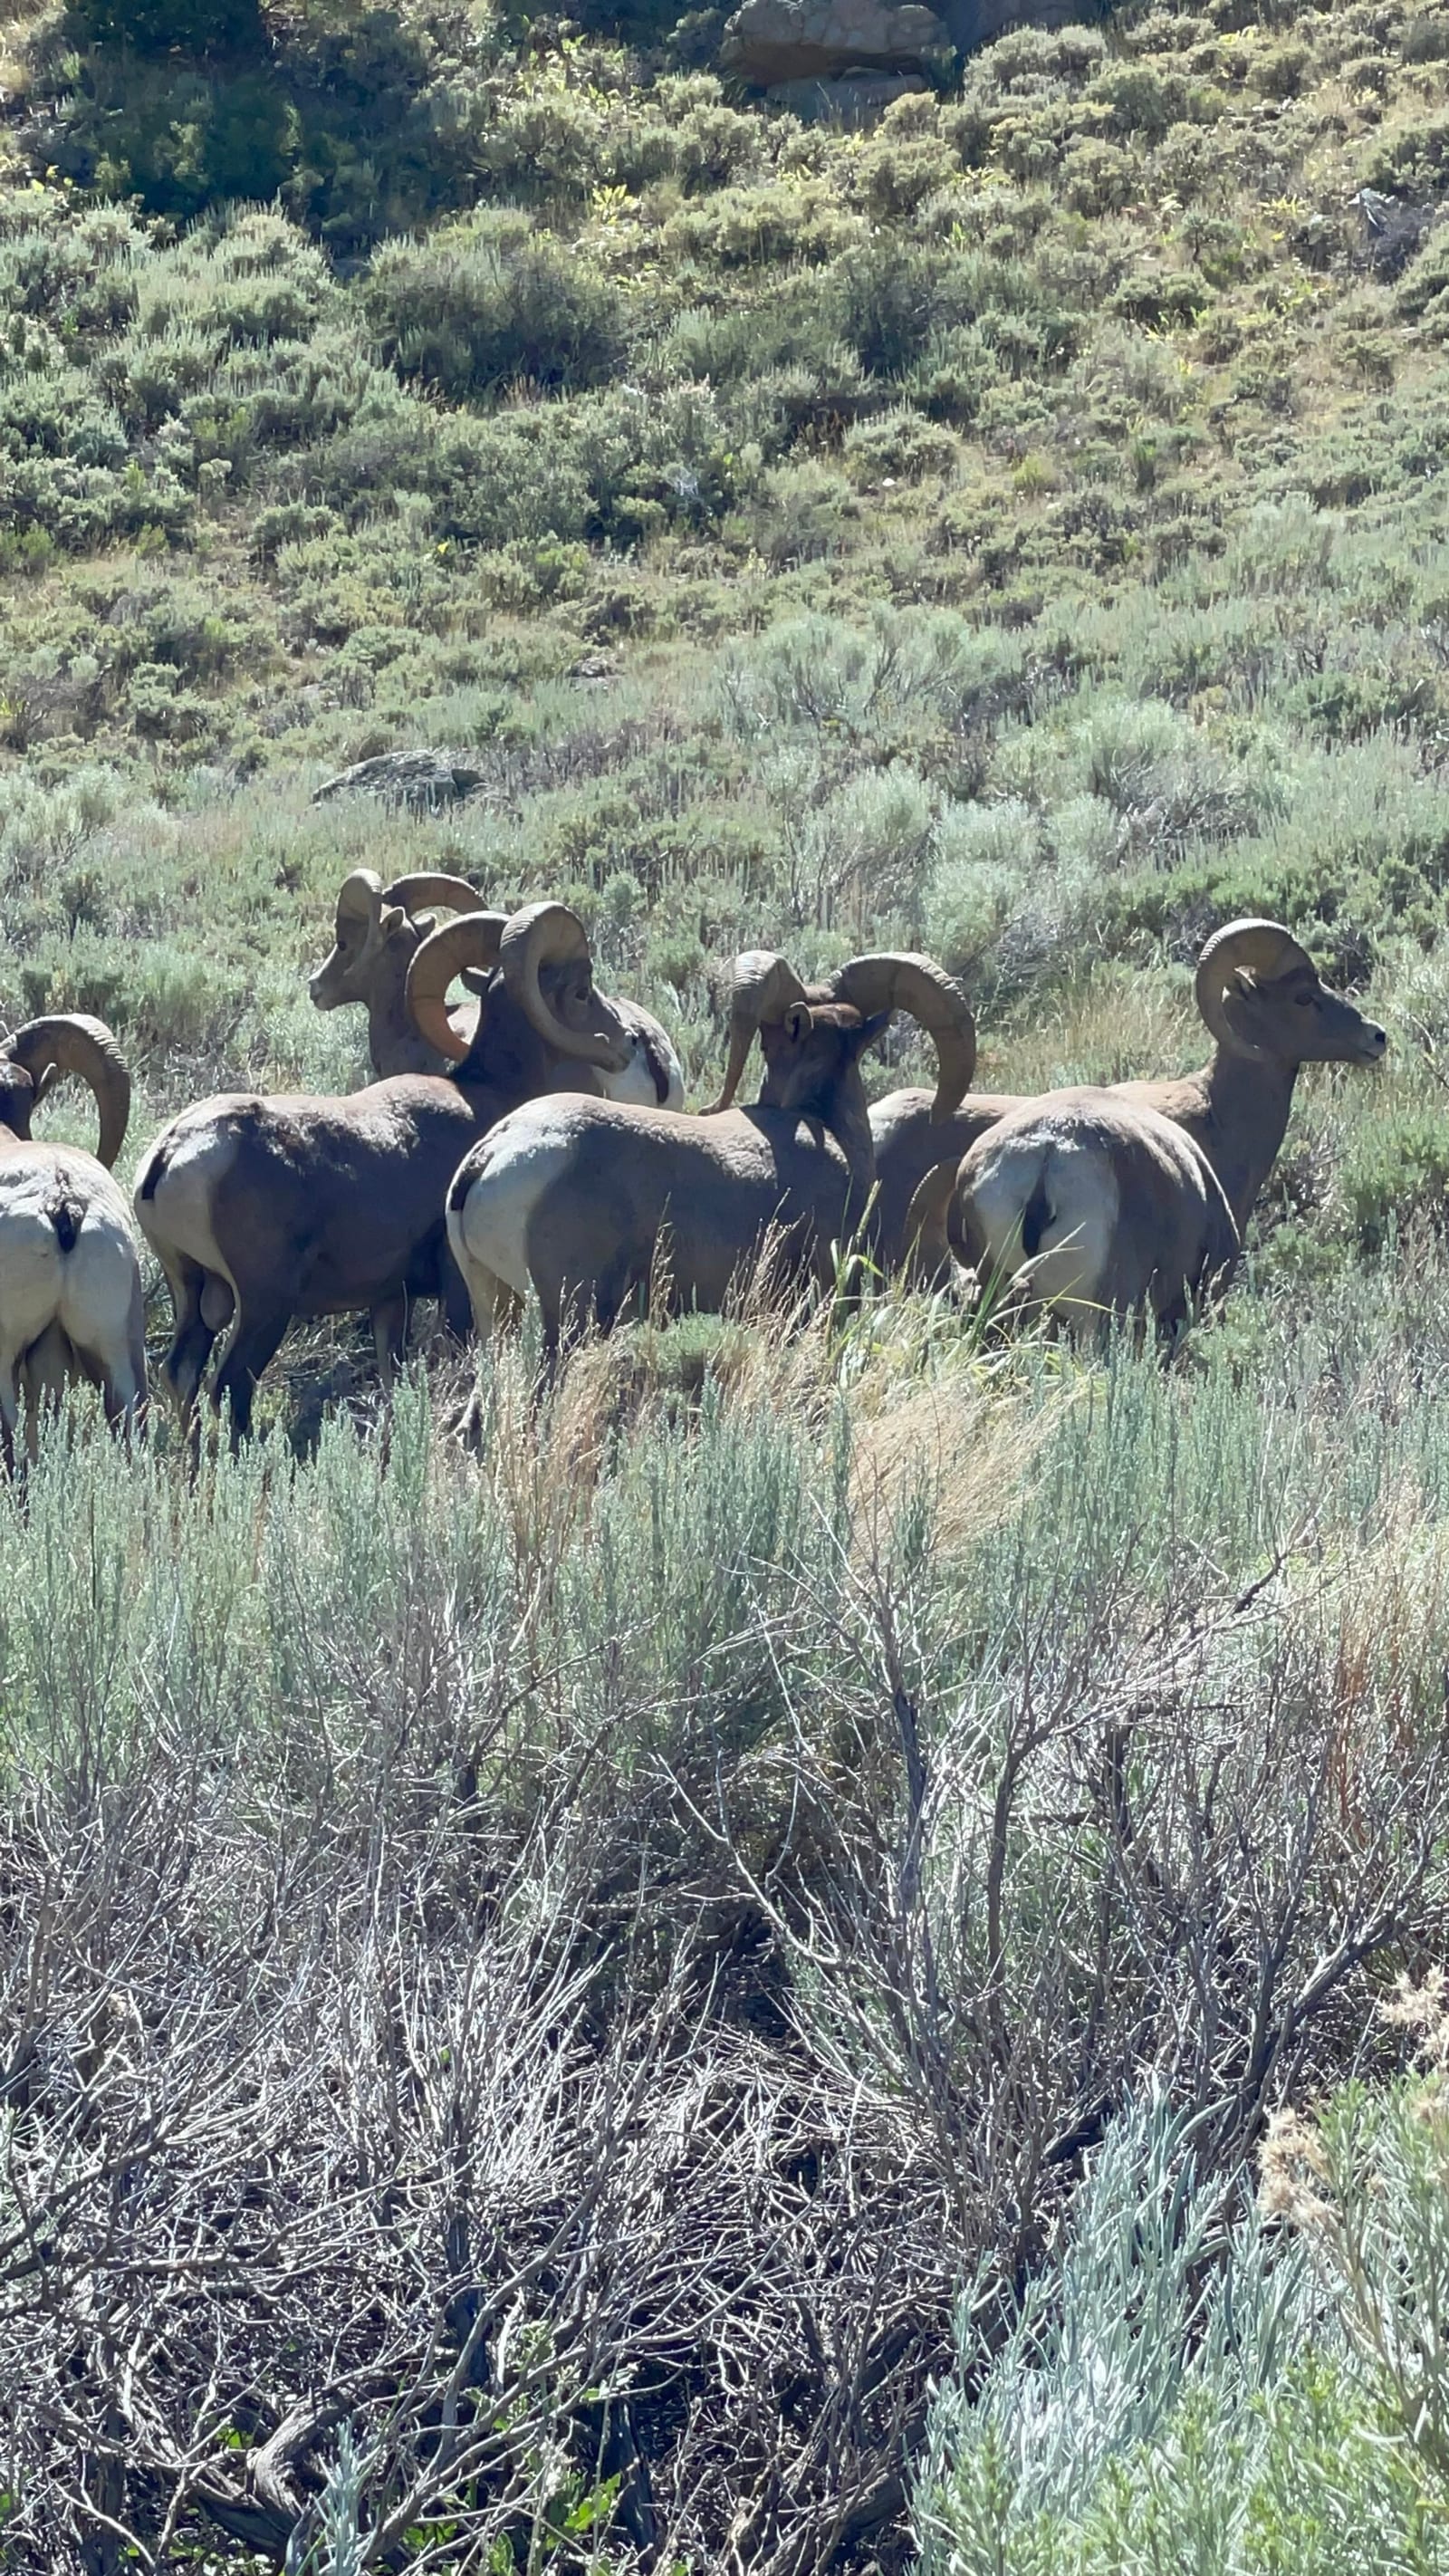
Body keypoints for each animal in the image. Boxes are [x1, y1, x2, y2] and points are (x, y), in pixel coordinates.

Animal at [135, 901, 651, 1441]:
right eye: (581, 989)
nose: (628, 1042)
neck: (488, 1096)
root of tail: (171, 1155)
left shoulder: (390, 1302)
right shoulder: (455, 1292)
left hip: (195, 1295)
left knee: (181, 1376)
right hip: (262, 1306)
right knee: (231, 1388)